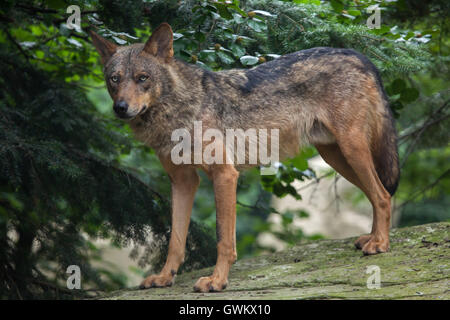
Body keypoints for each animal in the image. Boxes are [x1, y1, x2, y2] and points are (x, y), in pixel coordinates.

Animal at [89, 21, 400, 292]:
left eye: (142, 78)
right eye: (114, 79)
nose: (120, 107)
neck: (178, 111)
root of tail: (359, 55)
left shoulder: (224, 175)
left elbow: (223, 240)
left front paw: (216, 281)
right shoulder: (183, 181)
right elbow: (176, 241)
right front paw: (165, 278)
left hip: (351, 150)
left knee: (383, 196)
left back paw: (380, 245)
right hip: (337, 158)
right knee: (378, 194)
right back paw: (372, 238)